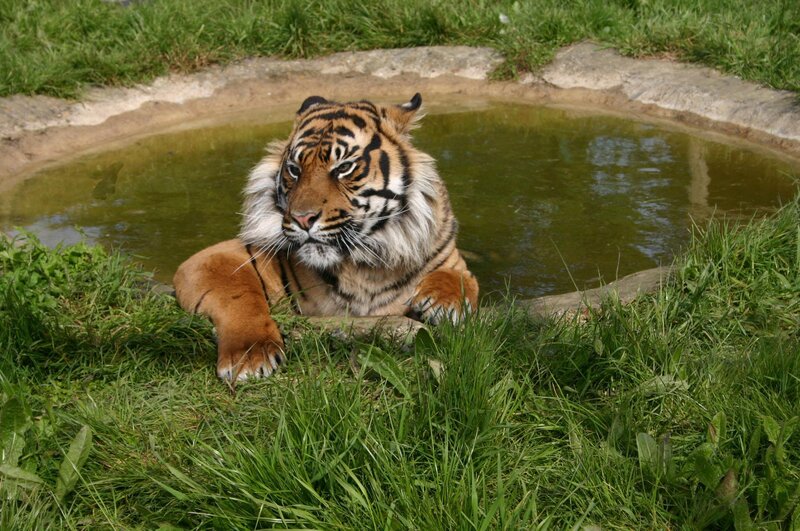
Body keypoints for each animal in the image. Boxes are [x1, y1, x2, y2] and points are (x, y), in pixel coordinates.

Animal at [173, 94, 479, 381]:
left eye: (343, 168)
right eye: (294, 170)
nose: (303, 218)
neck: (364, 265)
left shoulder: (451, 260)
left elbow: (457, 279)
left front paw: (441, 305)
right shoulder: (215, 258)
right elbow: (239, 298)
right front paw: (249, 355)